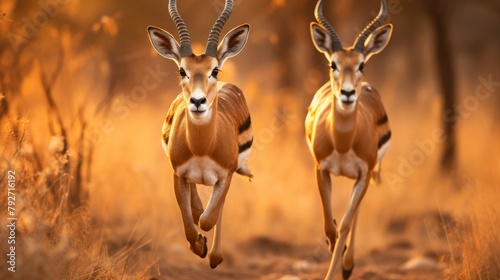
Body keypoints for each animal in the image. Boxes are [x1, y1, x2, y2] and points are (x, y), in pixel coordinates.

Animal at [146, 0, 252, 268]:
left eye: (215, 70)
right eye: (182, 71)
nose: (197, 101)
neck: (203, 148)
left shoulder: (225, 176)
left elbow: (207, 219)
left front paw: (208, 250)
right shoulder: (177, 174)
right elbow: (190, 225)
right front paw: (199, 245)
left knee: (215, 210)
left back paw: (215, 256)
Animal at [304, 0, 394, 278]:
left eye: (361, 65)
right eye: (333, 64)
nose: (347, 93)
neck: (343, 143)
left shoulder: (364, 173)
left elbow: (344, 225)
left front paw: (338, 266)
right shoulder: (321, 169)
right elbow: (330, 226)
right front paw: (334, 250)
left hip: (366, 175)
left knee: (354, 215)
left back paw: (348, 265)